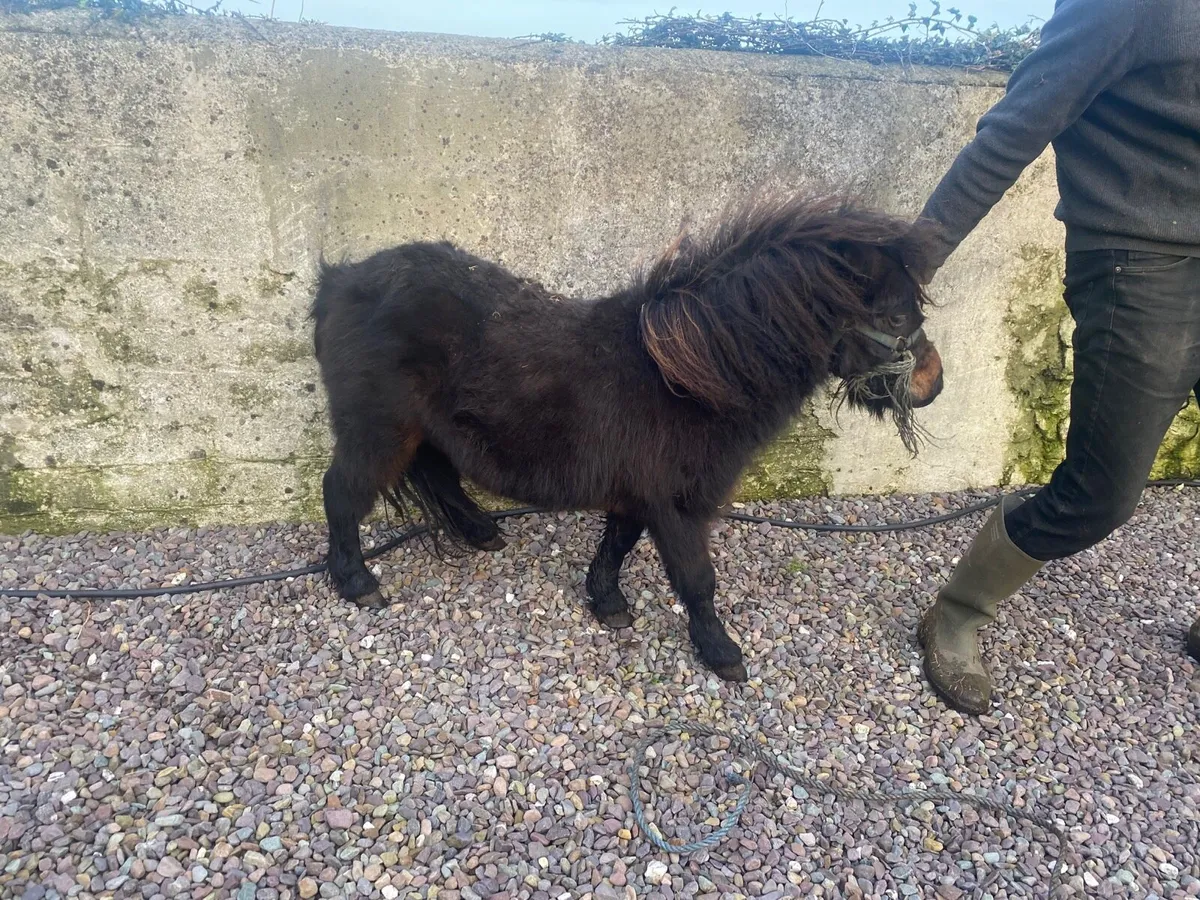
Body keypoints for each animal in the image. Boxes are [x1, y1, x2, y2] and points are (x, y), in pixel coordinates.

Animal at [309, 194, 944, 682]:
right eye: (894, 317)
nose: (934, 383)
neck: (691, 378)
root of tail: (338, 282)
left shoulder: (641, 492)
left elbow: (617, 543)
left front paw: (607, 601)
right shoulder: (676, 503)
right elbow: (697, 579)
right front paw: (721, 653)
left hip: (423, 431)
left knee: (440, 476)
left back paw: (481, 533)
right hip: (378, 430)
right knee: (340, 491)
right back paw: (357, 582)